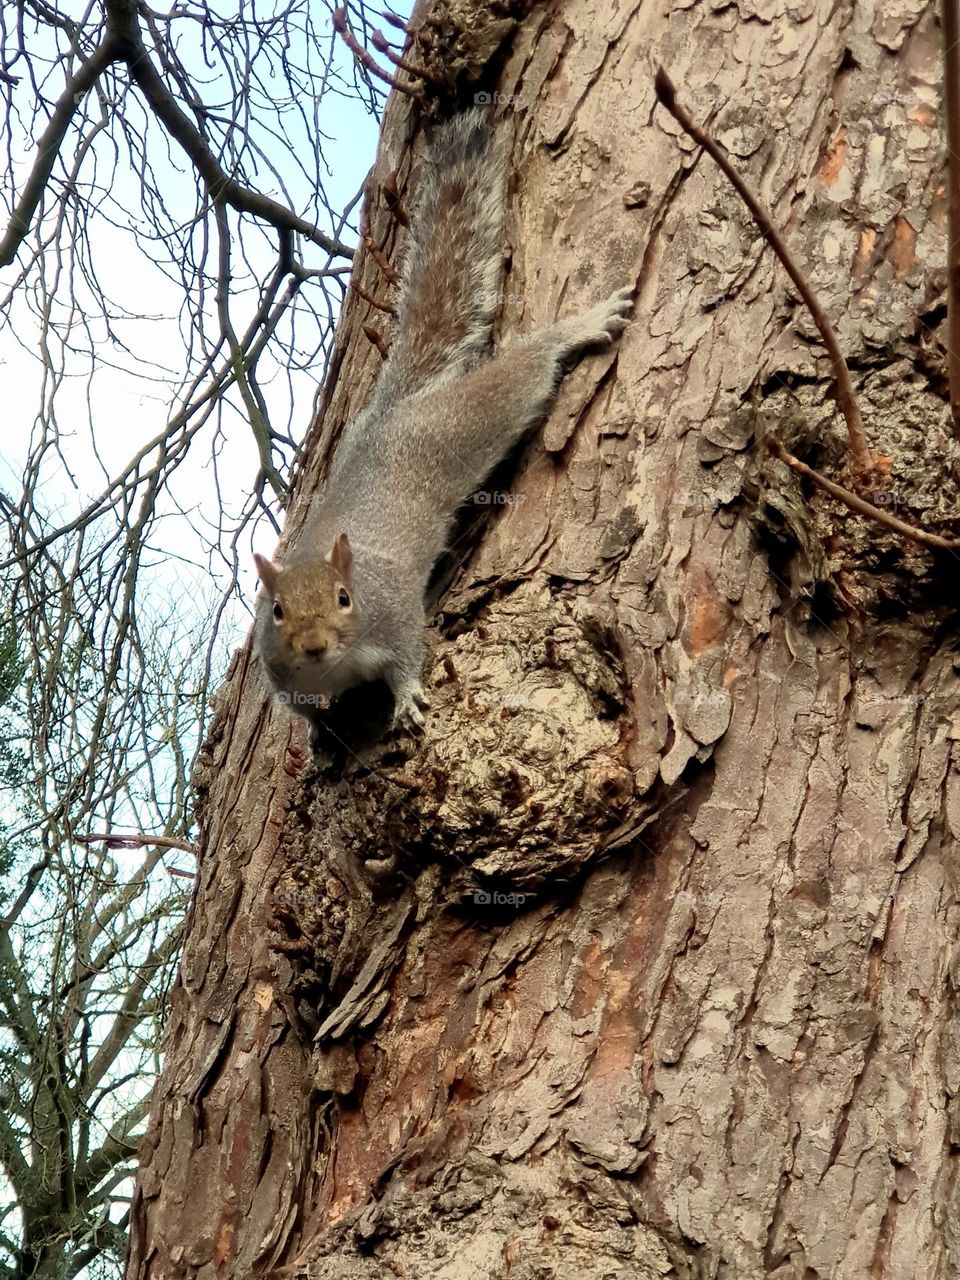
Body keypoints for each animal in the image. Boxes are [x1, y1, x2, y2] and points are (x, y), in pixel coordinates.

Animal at [254, 108, 633, 735]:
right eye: (277, 611)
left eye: (344, 597)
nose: (313, 646)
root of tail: (394, 412)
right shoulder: (280, 672)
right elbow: (303, 708)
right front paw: (315, 731)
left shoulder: (395, 611)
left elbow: (409, 652)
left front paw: (407, 697)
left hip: (461, 424)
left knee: (520, 376)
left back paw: (578, 328)